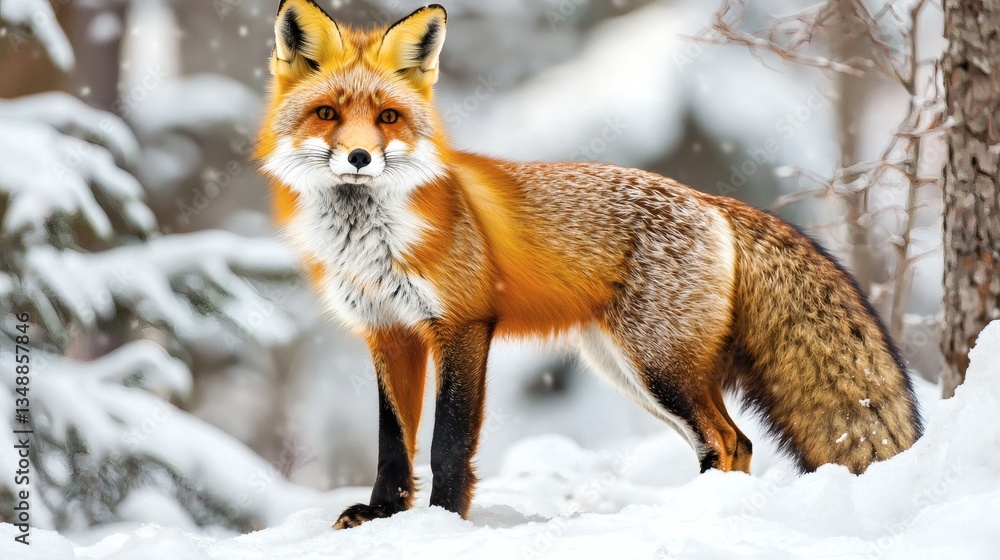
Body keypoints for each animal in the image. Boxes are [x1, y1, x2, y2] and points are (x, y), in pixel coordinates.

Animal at [256, 1, 922, 529]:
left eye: (388, 117)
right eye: (327, 114)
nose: (360, 157)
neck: (371, 243)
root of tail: (711, 200)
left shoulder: (462, 325)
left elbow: (447, 444)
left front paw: (442, 524)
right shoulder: (387, 332)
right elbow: (392, 444)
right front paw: (382, 516)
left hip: (658, 367)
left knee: (727, 440)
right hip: (628, 369)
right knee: (736, 442)